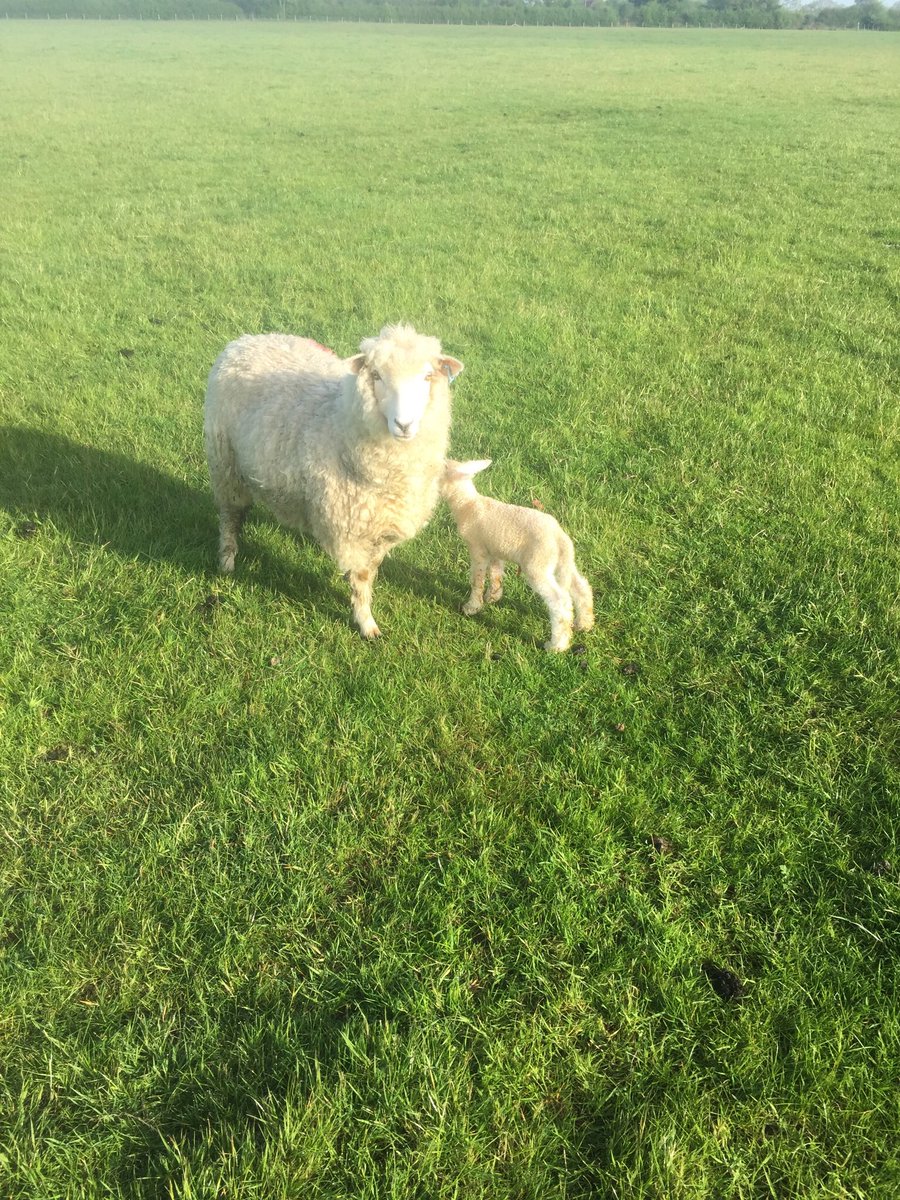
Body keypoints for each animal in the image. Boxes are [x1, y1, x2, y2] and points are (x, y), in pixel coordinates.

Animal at [204, 325, 464, 639]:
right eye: (376, 375)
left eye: (427, 376)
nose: (404, 425)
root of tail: (246, 340)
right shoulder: (352, 528)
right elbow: (361, 576)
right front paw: (366, 622)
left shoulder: (382, 529)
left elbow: (372, 569)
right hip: (225, 463)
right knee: (231, 516)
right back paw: (227, 560)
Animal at [441, 459, 594, 652]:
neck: (468, 504)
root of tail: (560, 538)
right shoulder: (495, 549)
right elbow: (496, 573)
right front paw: (493, 596)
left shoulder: (478, 549)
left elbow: (477, 580)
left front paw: (472, 607)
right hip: (563, 563)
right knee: (581, 586)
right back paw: (585, 623)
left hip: (537, 565)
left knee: (559, 602)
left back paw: (556, 645)